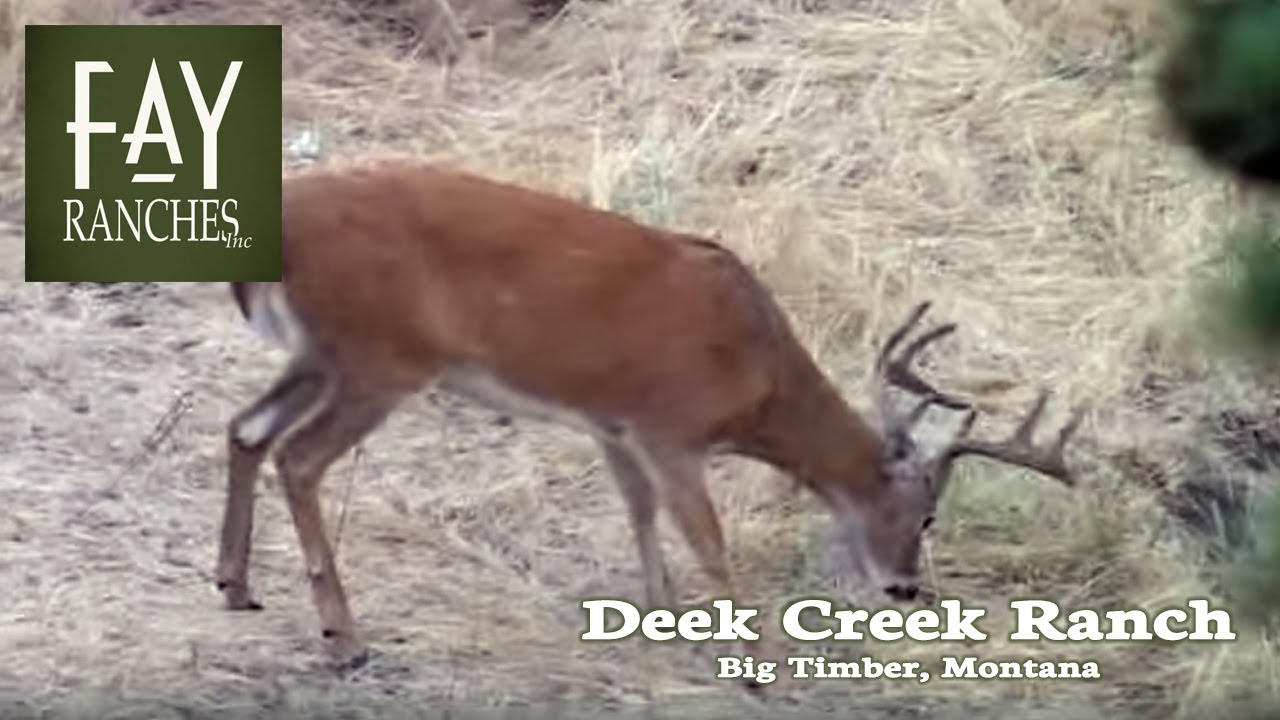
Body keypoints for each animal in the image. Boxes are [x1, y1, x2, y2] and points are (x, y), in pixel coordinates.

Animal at [215, 158, 1085, 670]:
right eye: (927, 516)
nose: (907, 589)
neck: (757, 372)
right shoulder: (671, 429)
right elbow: (709, 541)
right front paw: (755, 657)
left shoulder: (615, 423)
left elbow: (639, 514)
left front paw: (660, 617)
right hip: (381, 357)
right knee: (299, 458)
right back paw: (344, 639)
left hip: (324, 354)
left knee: (245, 430)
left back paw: (234, 585)